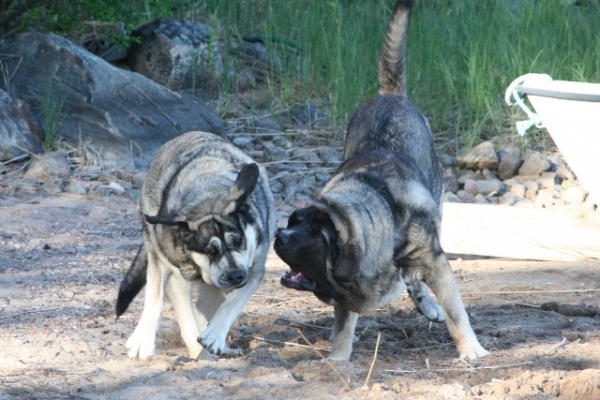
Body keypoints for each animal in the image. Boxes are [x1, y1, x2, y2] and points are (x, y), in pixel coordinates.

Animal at [116, 131, 276, 360]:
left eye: (239, 240)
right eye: (211, 250)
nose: (236, 276)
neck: (206, 195)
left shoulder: (253, 270)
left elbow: (231, 304)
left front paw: (214, 336)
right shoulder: (172, 271)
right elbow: (172, 309)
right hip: (155, 246)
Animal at [274, 0, 490, 362]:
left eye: (316, 236)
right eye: (294, 220)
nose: (279, 234)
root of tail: (389, 94)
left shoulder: (436, 262)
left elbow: (456, 313)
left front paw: (471, 349)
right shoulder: (345, 291)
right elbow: (343, 324)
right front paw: (338, 359)